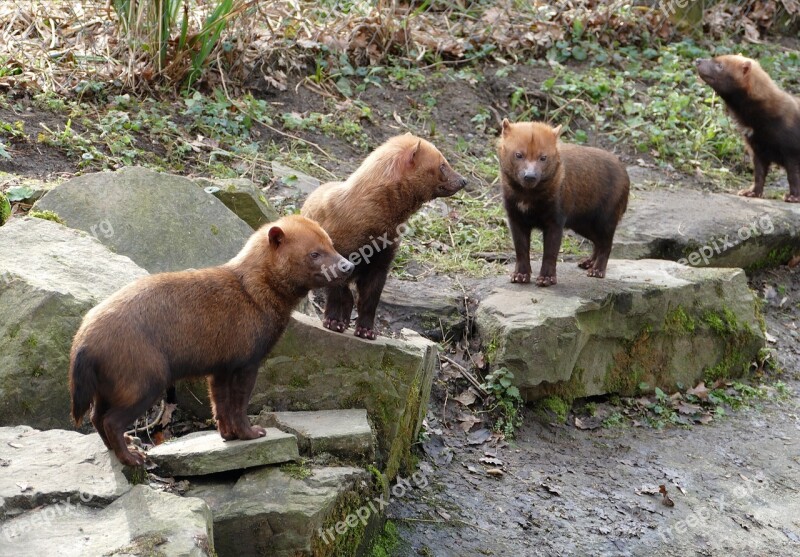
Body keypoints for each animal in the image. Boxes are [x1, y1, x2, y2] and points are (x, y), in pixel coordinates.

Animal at [69, 215, 354, 466]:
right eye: (314, 253)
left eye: (331, 243)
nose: (347, 266)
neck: (253, 296)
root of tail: (83, 338)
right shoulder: (246, 360)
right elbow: (238, 403)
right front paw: (253, 433)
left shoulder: (221, 365)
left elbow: (219, 403)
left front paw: (229, 435)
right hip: (143, 378)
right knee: (110, 420)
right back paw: (133, 457)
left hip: (108, 384)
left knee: (96, 416)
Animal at [300, 132, 466, 338]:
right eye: (443, 164)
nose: (463, 180)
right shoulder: (337, 247)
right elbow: (338, 291)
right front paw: (334, 322)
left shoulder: (384, 255)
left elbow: (371, 297)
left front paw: (366, 331)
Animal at [496, 120, 628, 286]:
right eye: (518, 154)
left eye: (543, 157)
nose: (530, 176)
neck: (528, 199)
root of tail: (625, 172)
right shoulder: (515, 217)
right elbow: (521, 249)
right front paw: (520, 275)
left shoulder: (556, 219)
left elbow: (550, 252)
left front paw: (546, 278)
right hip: (582, 223)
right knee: (597, 242)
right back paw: (587, 263)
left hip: (606, 217)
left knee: (607, 244)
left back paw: (597, 270)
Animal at [692, 53, 800, 202]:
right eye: (715, 57)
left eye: (720, 65)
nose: (698, 60)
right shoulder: (757, 148)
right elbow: (759, 174)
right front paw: (751, 192)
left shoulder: (791, 148)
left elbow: (793, 175)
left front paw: (793, 196)